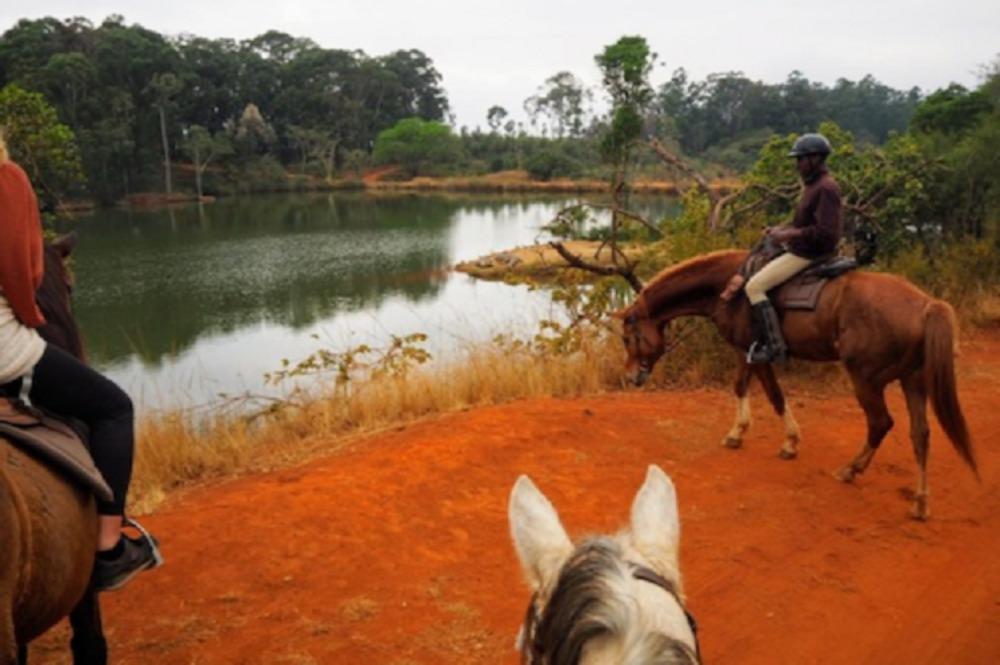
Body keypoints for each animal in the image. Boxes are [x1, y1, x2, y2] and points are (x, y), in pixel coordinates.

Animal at [616, 249, 976, 520]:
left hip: (866, 379)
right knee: (920, 435)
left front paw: (788, 442)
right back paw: (920, 502)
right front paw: (738, 433)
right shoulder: (746, 353)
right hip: (912, 381)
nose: (633, 376)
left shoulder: (756, 354)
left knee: (880, 423)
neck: (730, 289)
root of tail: (926, 305)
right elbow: (740, 386)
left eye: (627, 337)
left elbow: (772, 395)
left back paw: (851, 470)